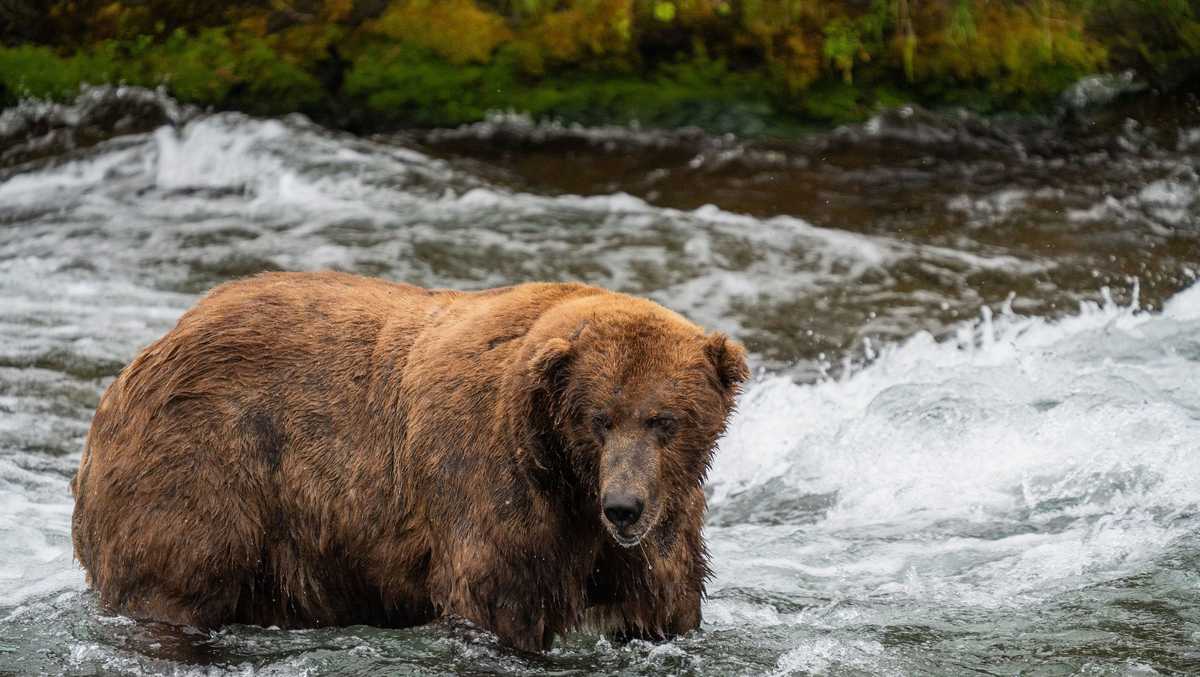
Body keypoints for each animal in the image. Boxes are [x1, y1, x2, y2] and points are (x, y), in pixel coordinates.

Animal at [70, 270, 744, 648]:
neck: (566, 477)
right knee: (173, 576)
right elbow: (496, 598)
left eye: (665, 420)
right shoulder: (493, 484)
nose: (624, 507)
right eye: (599, 418)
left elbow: (663, 603)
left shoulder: (660, 522)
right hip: (207, 461)